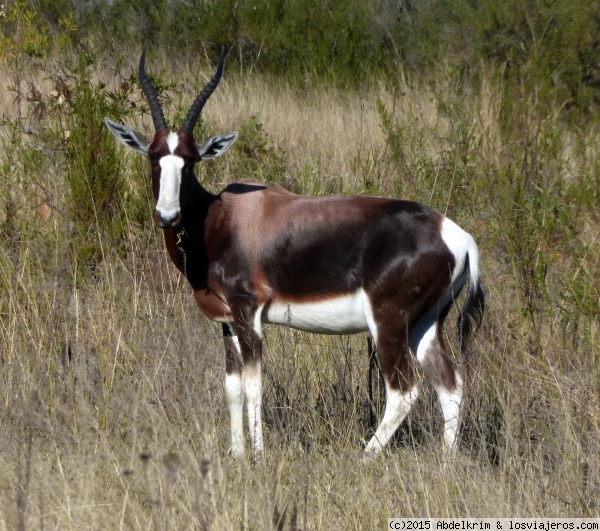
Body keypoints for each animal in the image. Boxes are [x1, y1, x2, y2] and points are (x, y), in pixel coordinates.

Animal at [105, 47, 486, 460]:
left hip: (388, 322)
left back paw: (363, 460)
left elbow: (254, 386)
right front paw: (237, 454)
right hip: (426, 323)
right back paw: (446, 463)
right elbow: (232, 387)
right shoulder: (227, 321)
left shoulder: (248, 313)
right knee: (450, 385)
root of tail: (457, 235)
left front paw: (258, 456)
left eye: (190, 161)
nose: (167, 215)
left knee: (404, 390)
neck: (223, 219)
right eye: (153, 157)